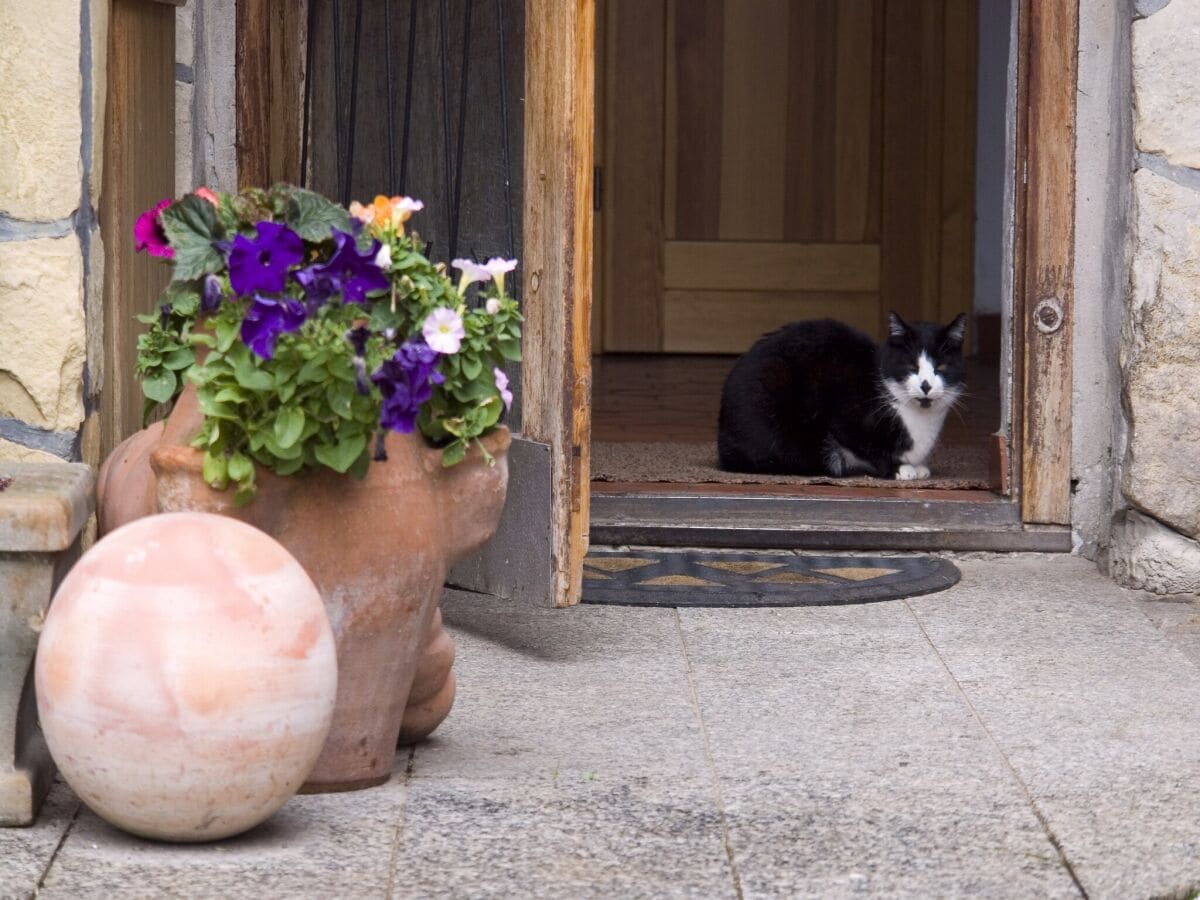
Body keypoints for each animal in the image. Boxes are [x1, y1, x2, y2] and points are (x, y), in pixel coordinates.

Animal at [720, 312, 964, 482]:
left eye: (941, 367)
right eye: (911, 366)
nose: (925, 385)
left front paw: (918, 467)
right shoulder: (845, 416)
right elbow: (865, 447)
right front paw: (899, 469)